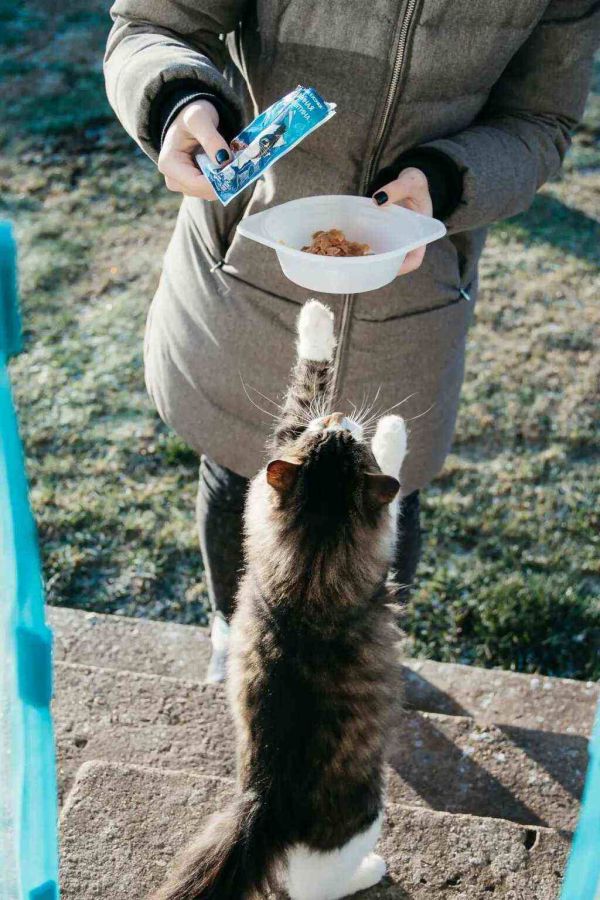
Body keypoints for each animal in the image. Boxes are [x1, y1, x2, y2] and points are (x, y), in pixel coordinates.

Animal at [151, 299, 408, 900]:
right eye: (340, 436)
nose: (339, 420)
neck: (309, 572)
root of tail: (264, 802)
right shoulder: (380, 541)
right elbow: (390, 477)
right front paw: (392, 428)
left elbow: (302, 390)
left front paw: (315, 318)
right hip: (366, 815)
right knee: (318, 884)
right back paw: (371, 870)